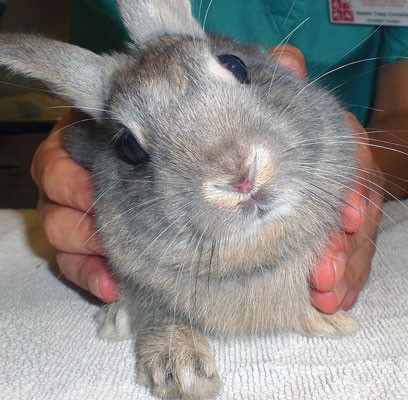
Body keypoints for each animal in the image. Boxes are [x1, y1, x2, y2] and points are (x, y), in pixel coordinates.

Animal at [0, 0, 358, 400]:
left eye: (235, 64)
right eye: (129, 148)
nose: (240, 176)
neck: (253, 249)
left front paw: (331, 319)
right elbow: (159, 311)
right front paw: (182, 372)